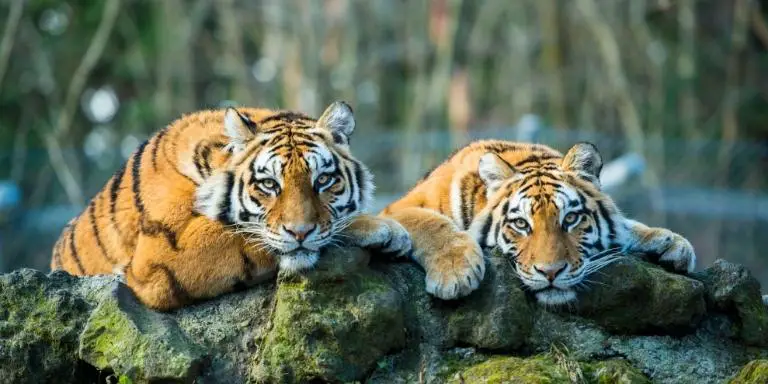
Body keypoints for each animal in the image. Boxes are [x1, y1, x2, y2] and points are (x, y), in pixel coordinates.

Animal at [52, 100, 414, 310]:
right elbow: (246, 234)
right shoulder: (160, 255)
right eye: (269, 184)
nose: (300, 233)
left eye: (323, 180)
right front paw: (383, 228)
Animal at [380, 140, 700, 304]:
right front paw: (455, 273)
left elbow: (626, 226)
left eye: (570, 218)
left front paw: (671, 242)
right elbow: (431, 223)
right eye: (521, 224)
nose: (551, 273)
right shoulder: (397, 209)